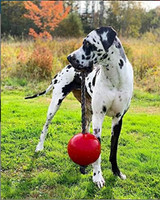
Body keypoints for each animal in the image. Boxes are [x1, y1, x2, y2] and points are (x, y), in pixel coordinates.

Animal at [25, 26, 133, 188]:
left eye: (87, 43)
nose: (69, 57)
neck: (115, 79)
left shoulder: (118, 119)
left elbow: (113, 151)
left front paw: (117, 173)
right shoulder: (98, 118)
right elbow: (98, 151)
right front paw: (97, 177)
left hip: (88, 113)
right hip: (55, 104)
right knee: (45, 126)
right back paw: (40, 147)